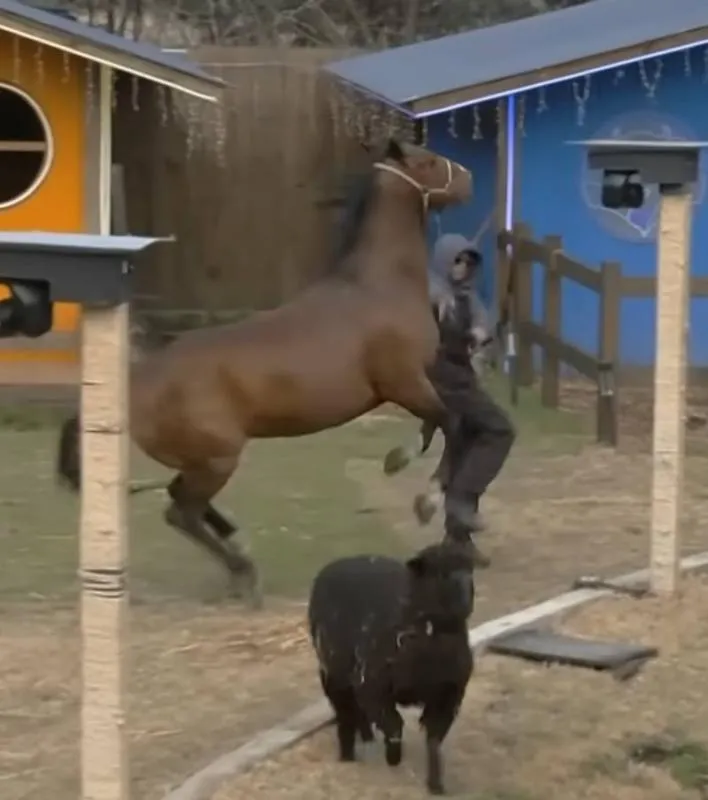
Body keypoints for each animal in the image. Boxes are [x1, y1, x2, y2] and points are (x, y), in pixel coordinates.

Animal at [55, 138, 472, 608]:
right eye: (429, 162)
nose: (468, 177)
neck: (378, 286)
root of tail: (136, 383)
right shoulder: (405, 382)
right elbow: (449, 422)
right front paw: (425, 498)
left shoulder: (411, 384)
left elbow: (435, 424)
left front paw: (398, 462)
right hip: (218, 460)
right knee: (180, 511)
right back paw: (243, 570)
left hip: (203, 462)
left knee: (184, 502)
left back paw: (238, 552)